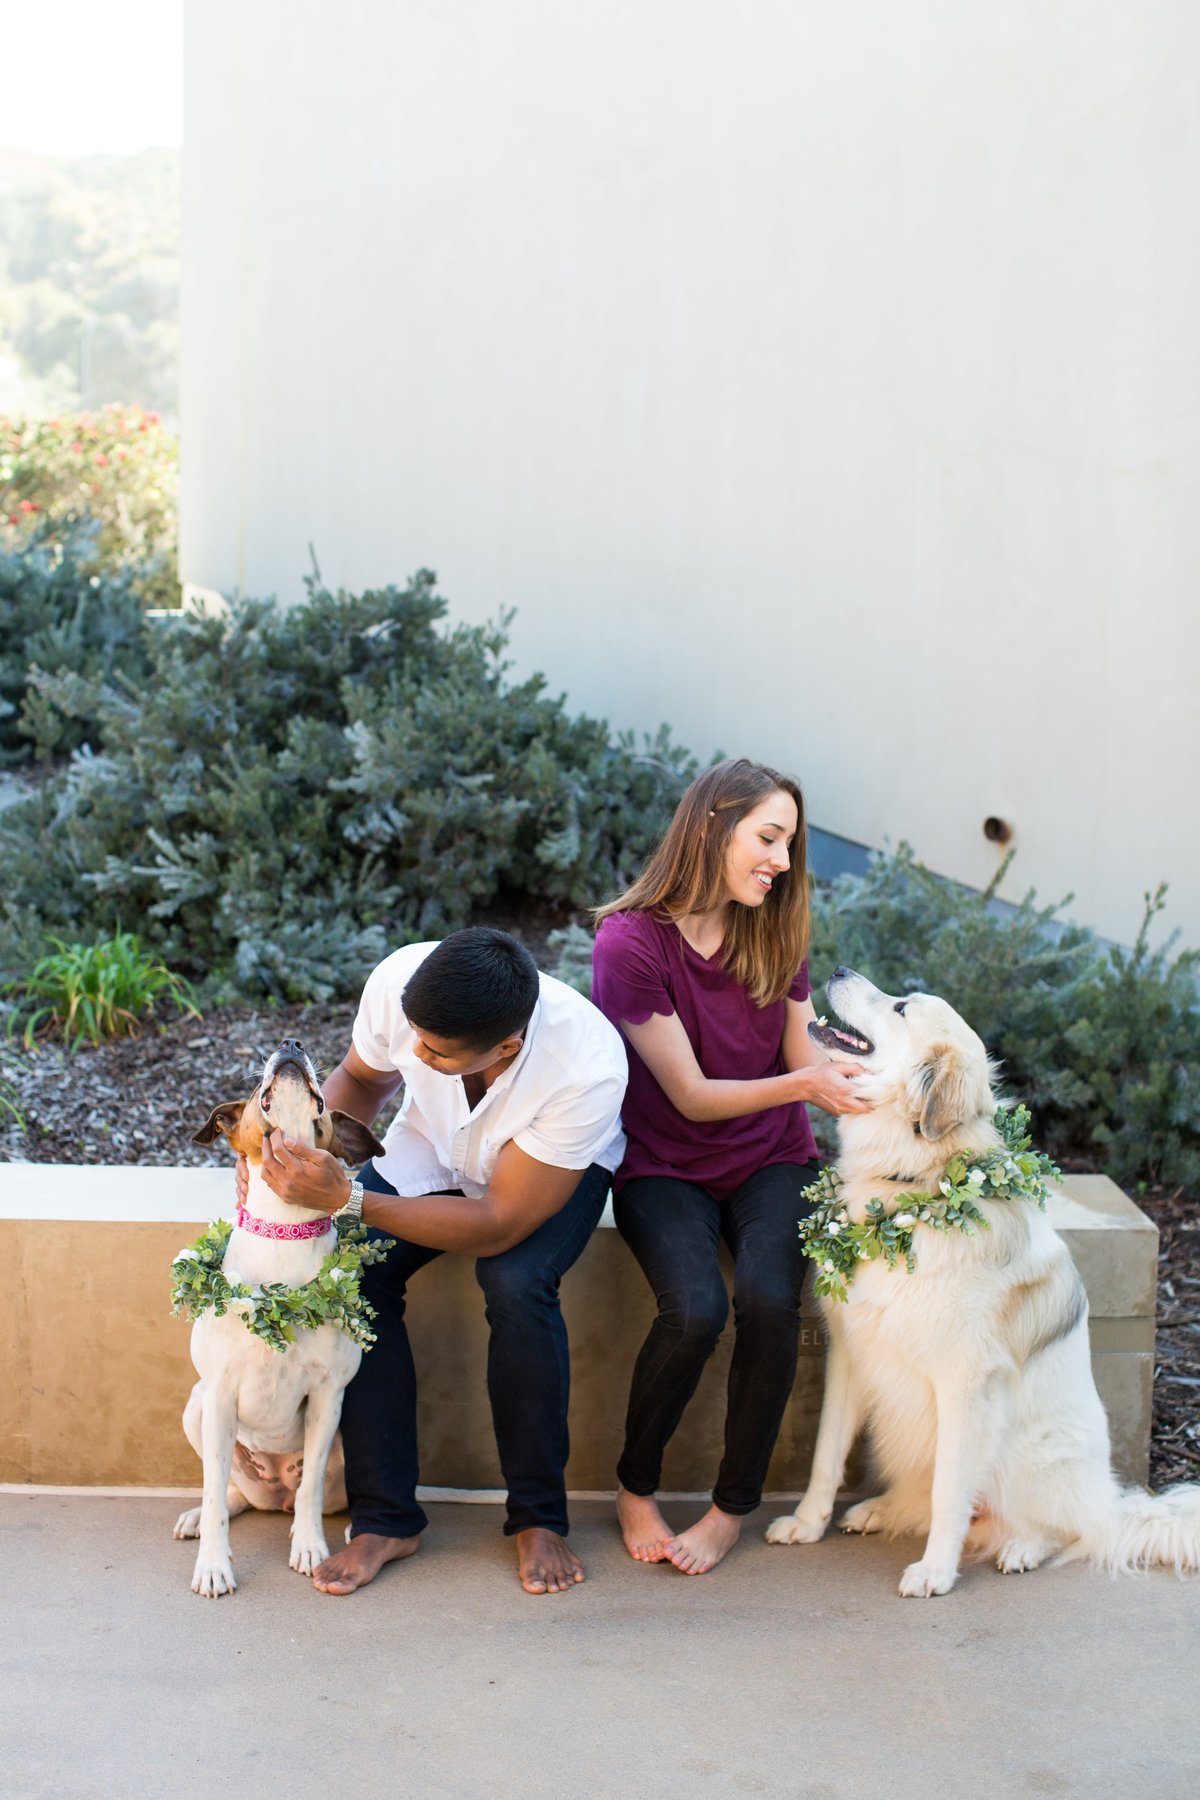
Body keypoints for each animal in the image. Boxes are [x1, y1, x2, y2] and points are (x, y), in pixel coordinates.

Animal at [170, 1044, 379, 1605]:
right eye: (250, 1096)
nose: (291, 1044)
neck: (284, 1227)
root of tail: (273, 1495)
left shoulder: (328, 1395)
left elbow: (310, 1491)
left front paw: (309, 1547)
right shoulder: (220, 1394)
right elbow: (214, 1494)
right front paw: (213, 1566)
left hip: (343, 1427)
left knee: (310, 1493)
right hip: (197, 1408)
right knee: (228, 1492)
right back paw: (202, 1516)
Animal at [770, 972, 1200, 1605]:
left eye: (901, 1008)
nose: (837, 972)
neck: (916, 1186)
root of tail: (1112, 1501)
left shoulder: (965, 1384)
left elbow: (952, 1490)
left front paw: (935, 1572)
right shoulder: (849, 1354)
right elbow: (827, 1454)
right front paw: (806, 1523)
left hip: (1029, 1451)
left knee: (1070, 1531)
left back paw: (1023, 1547)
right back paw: (879, 1510)